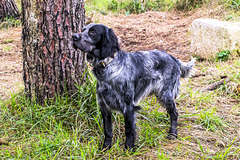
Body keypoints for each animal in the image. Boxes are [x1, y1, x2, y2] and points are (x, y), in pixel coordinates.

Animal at [71, 23, 195, 151]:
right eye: (83, 30)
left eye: (92, 32)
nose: (73, 36)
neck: (107, 67)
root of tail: (174, 58)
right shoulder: (104, 105)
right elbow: (108, 130)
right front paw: (106, 147)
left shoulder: (128, 107)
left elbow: (129, 131)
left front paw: (129, 149)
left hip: (165, 94)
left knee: (174, 113)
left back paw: (173, 134)